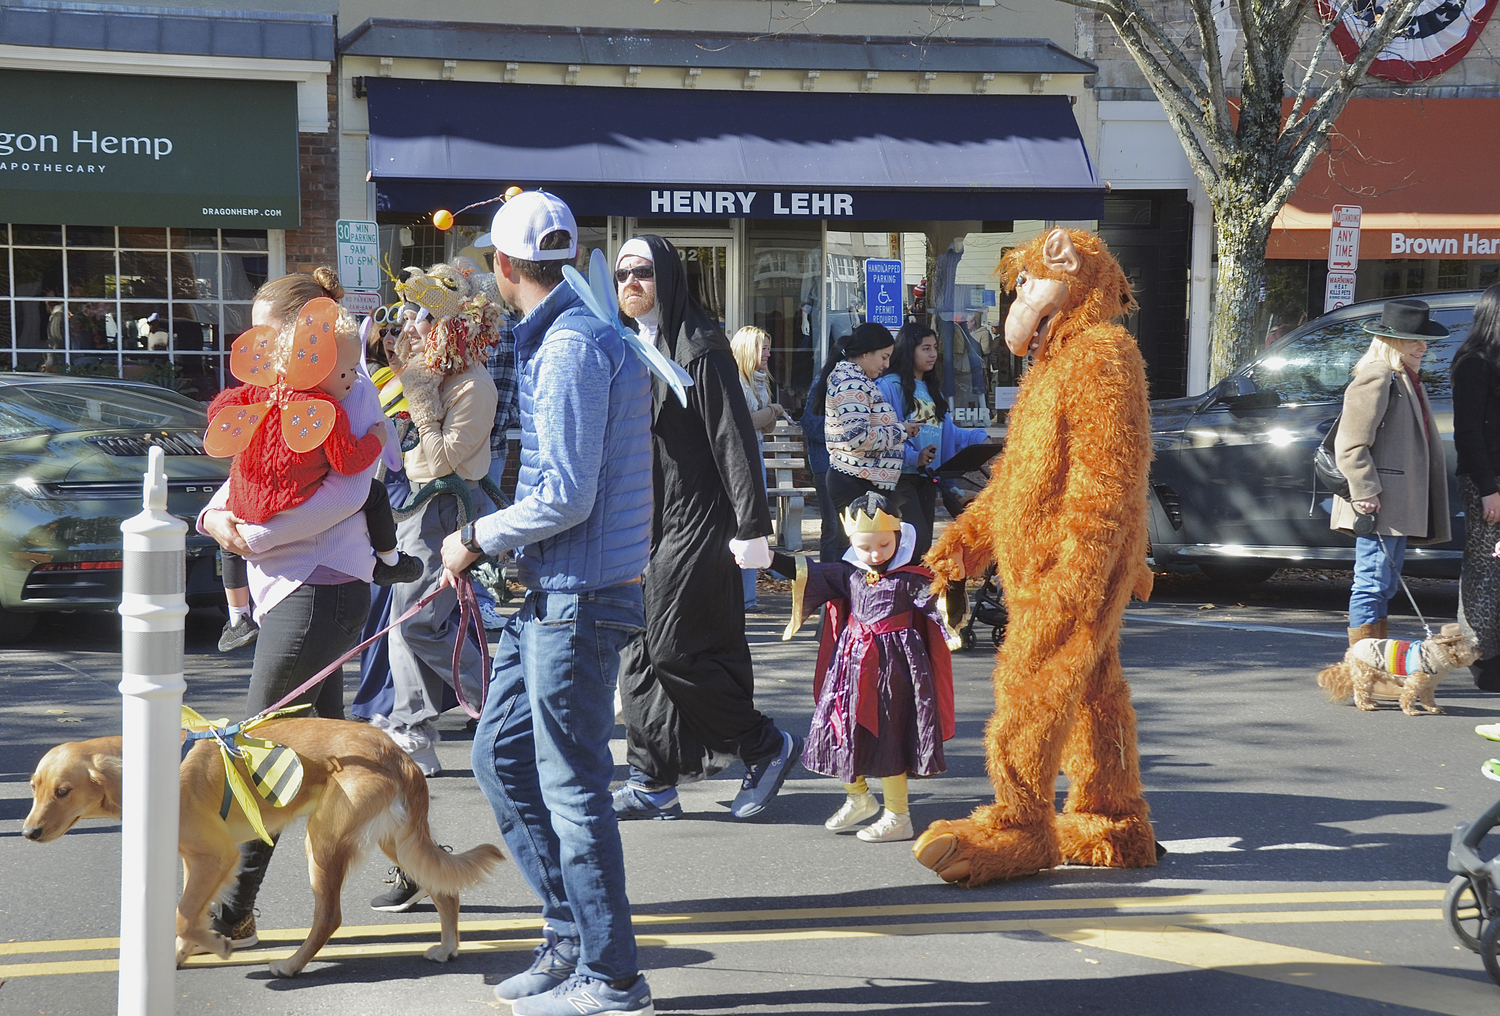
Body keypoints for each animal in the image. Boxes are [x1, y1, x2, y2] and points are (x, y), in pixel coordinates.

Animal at [1314, 621, 1476, 717]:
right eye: (1473, 647)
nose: (1480, 651)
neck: (1439, 653)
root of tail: (1352, 649)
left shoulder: (1428, 686)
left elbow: (1428, 699)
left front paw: (1433, 708)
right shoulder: (1415, 682)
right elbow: (1408, 697)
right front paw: (1410, 710)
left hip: (1370, 676)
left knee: (1365, 691)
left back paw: (1371, 702)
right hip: (1364, 675)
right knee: (1360, 692)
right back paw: (1365, 705)